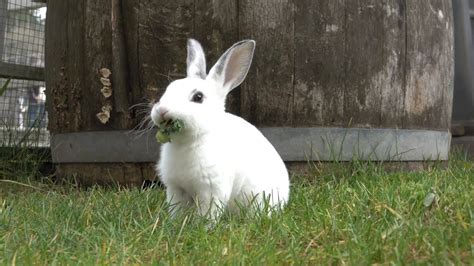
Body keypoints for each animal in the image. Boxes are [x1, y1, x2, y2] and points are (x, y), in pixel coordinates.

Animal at [151, 38, 288, 219]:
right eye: (168, 90)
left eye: (198, 97)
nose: (162, 110)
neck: (189, 141)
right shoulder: (176, 189)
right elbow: (177, 211)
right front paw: (176, 223)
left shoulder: (211, 191)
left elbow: (207, 214)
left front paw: (203, 225)